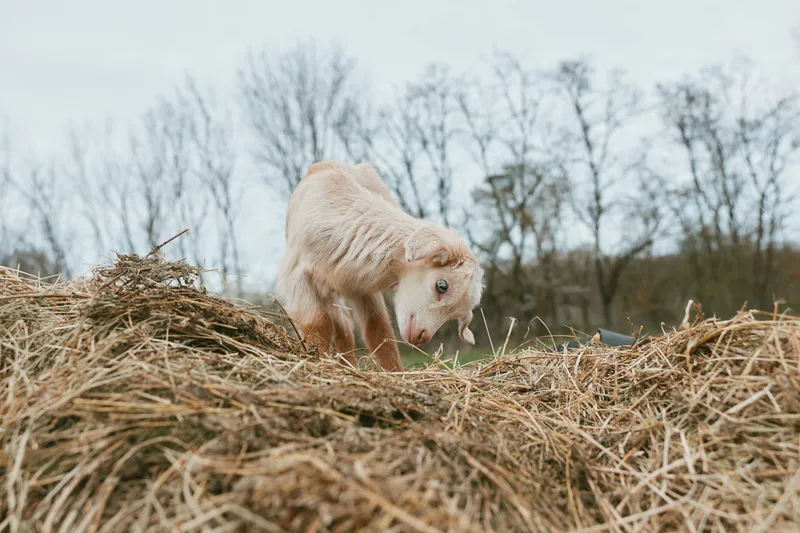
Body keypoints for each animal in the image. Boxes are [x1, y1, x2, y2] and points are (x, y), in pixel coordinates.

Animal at [276, 160, 484, 372]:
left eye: (454, 315)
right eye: (441, 285)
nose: (421, 337)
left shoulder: (361, 285)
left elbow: (378, 330)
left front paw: (395, 372)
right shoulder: (299, 276)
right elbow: (318, 324)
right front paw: (318, 361)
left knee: (345, 327)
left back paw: (350, 366)